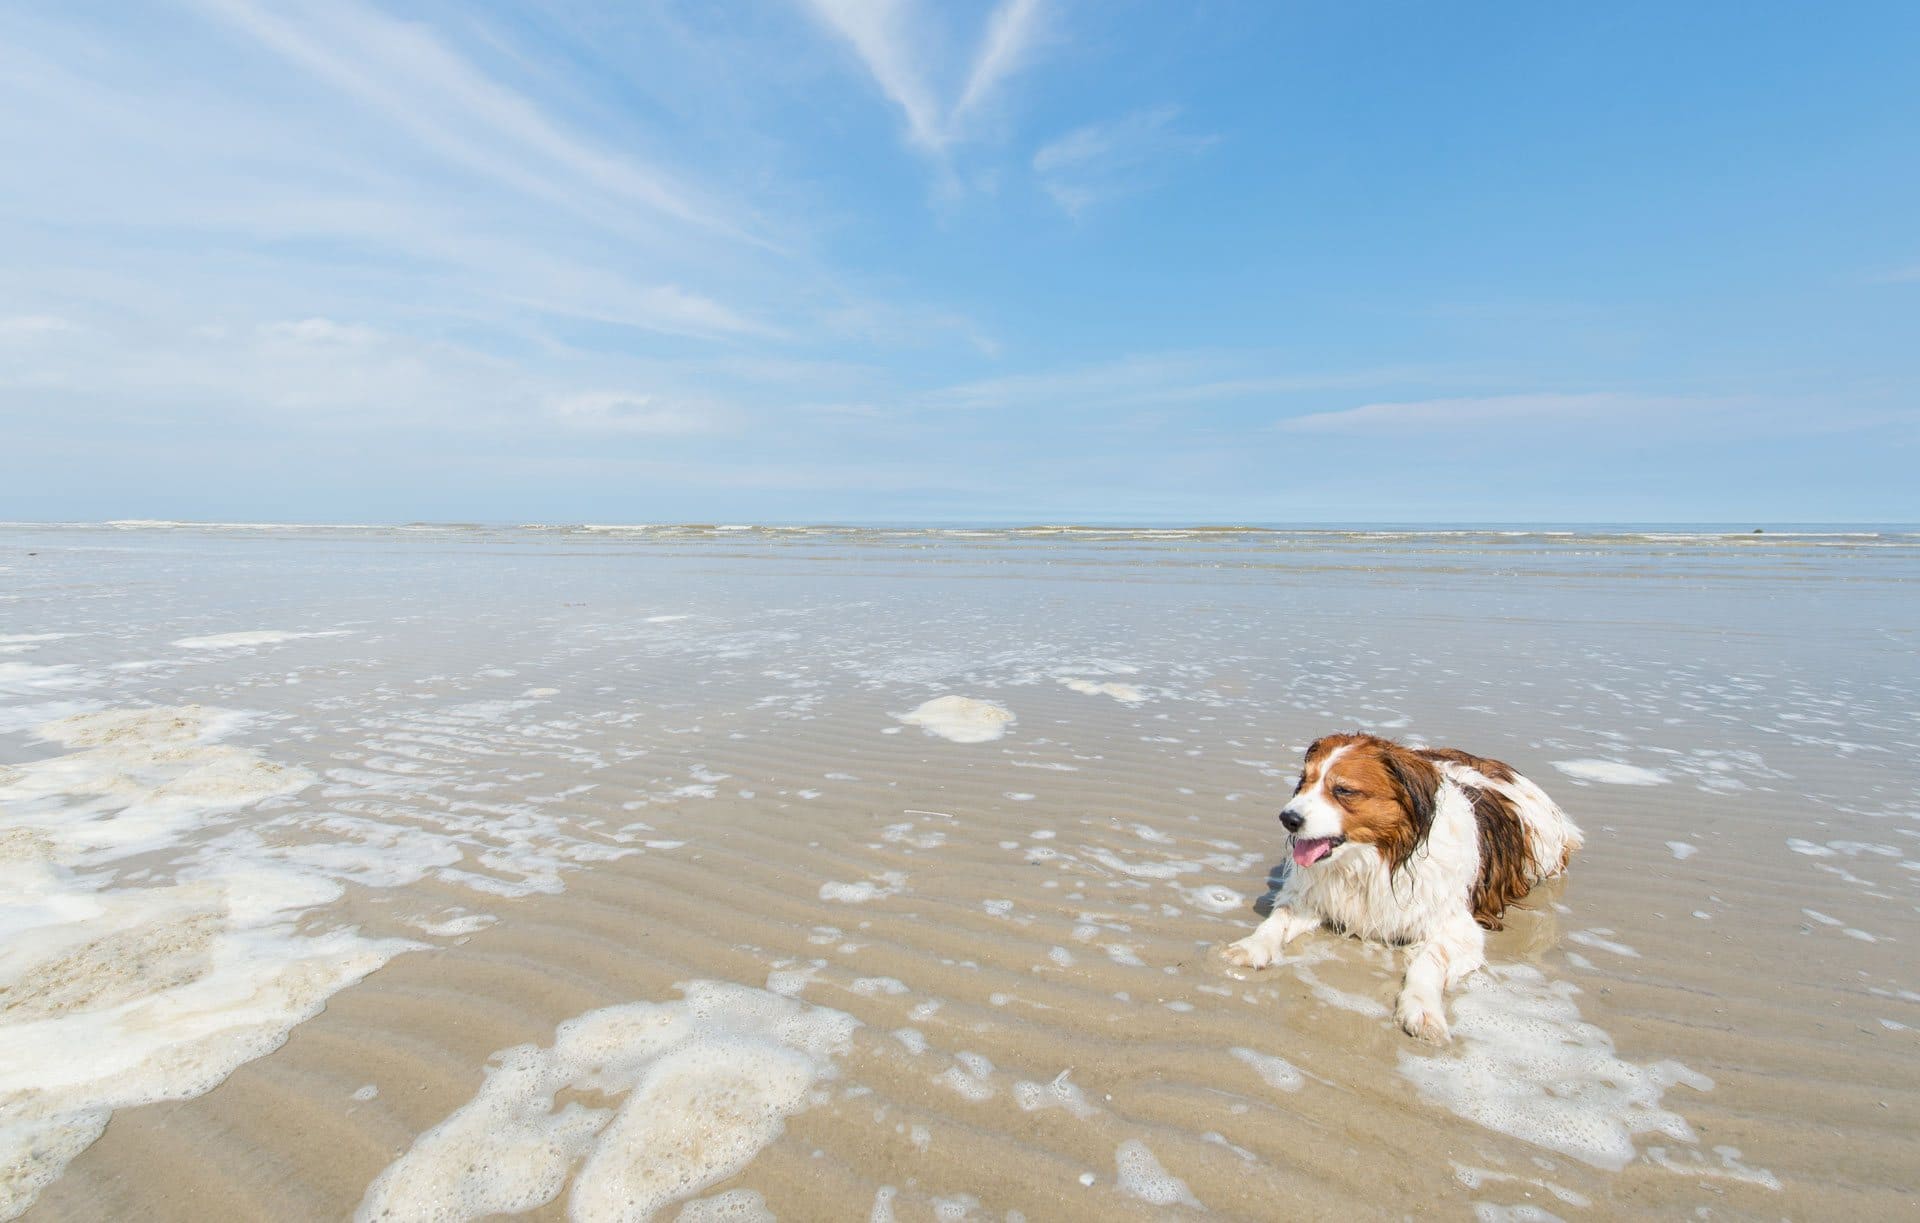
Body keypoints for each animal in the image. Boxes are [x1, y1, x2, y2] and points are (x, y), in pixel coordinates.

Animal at [1221, 729, 1582, 1044]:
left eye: (1344, 791)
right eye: (1303, 782)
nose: (1288, 818)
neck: (1375, 860)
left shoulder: (1459, 929)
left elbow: (1428, 961)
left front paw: (1422, 1010)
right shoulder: (1309, 897)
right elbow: (1276, 921)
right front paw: (1250, 947)